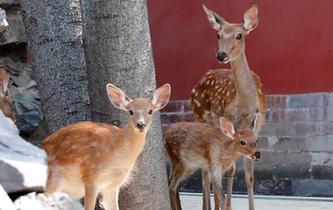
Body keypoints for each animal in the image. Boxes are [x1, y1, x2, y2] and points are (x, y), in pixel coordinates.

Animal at [41, 83, 171, 210]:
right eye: (130, 111)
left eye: (150, 111)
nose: (140, 124)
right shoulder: (91, 175)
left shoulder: (112, 184)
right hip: (52, 179)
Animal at [191, 4, 266, 210]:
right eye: (218, 35)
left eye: (239, 35)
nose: (221, 55)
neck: (247, 108)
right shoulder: (231, 125)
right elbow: (231, 169)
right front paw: (227, 206)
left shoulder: (256, 128)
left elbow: (249, 176)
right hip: (199, 116)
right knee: (205, 170)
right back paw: (208, 206)